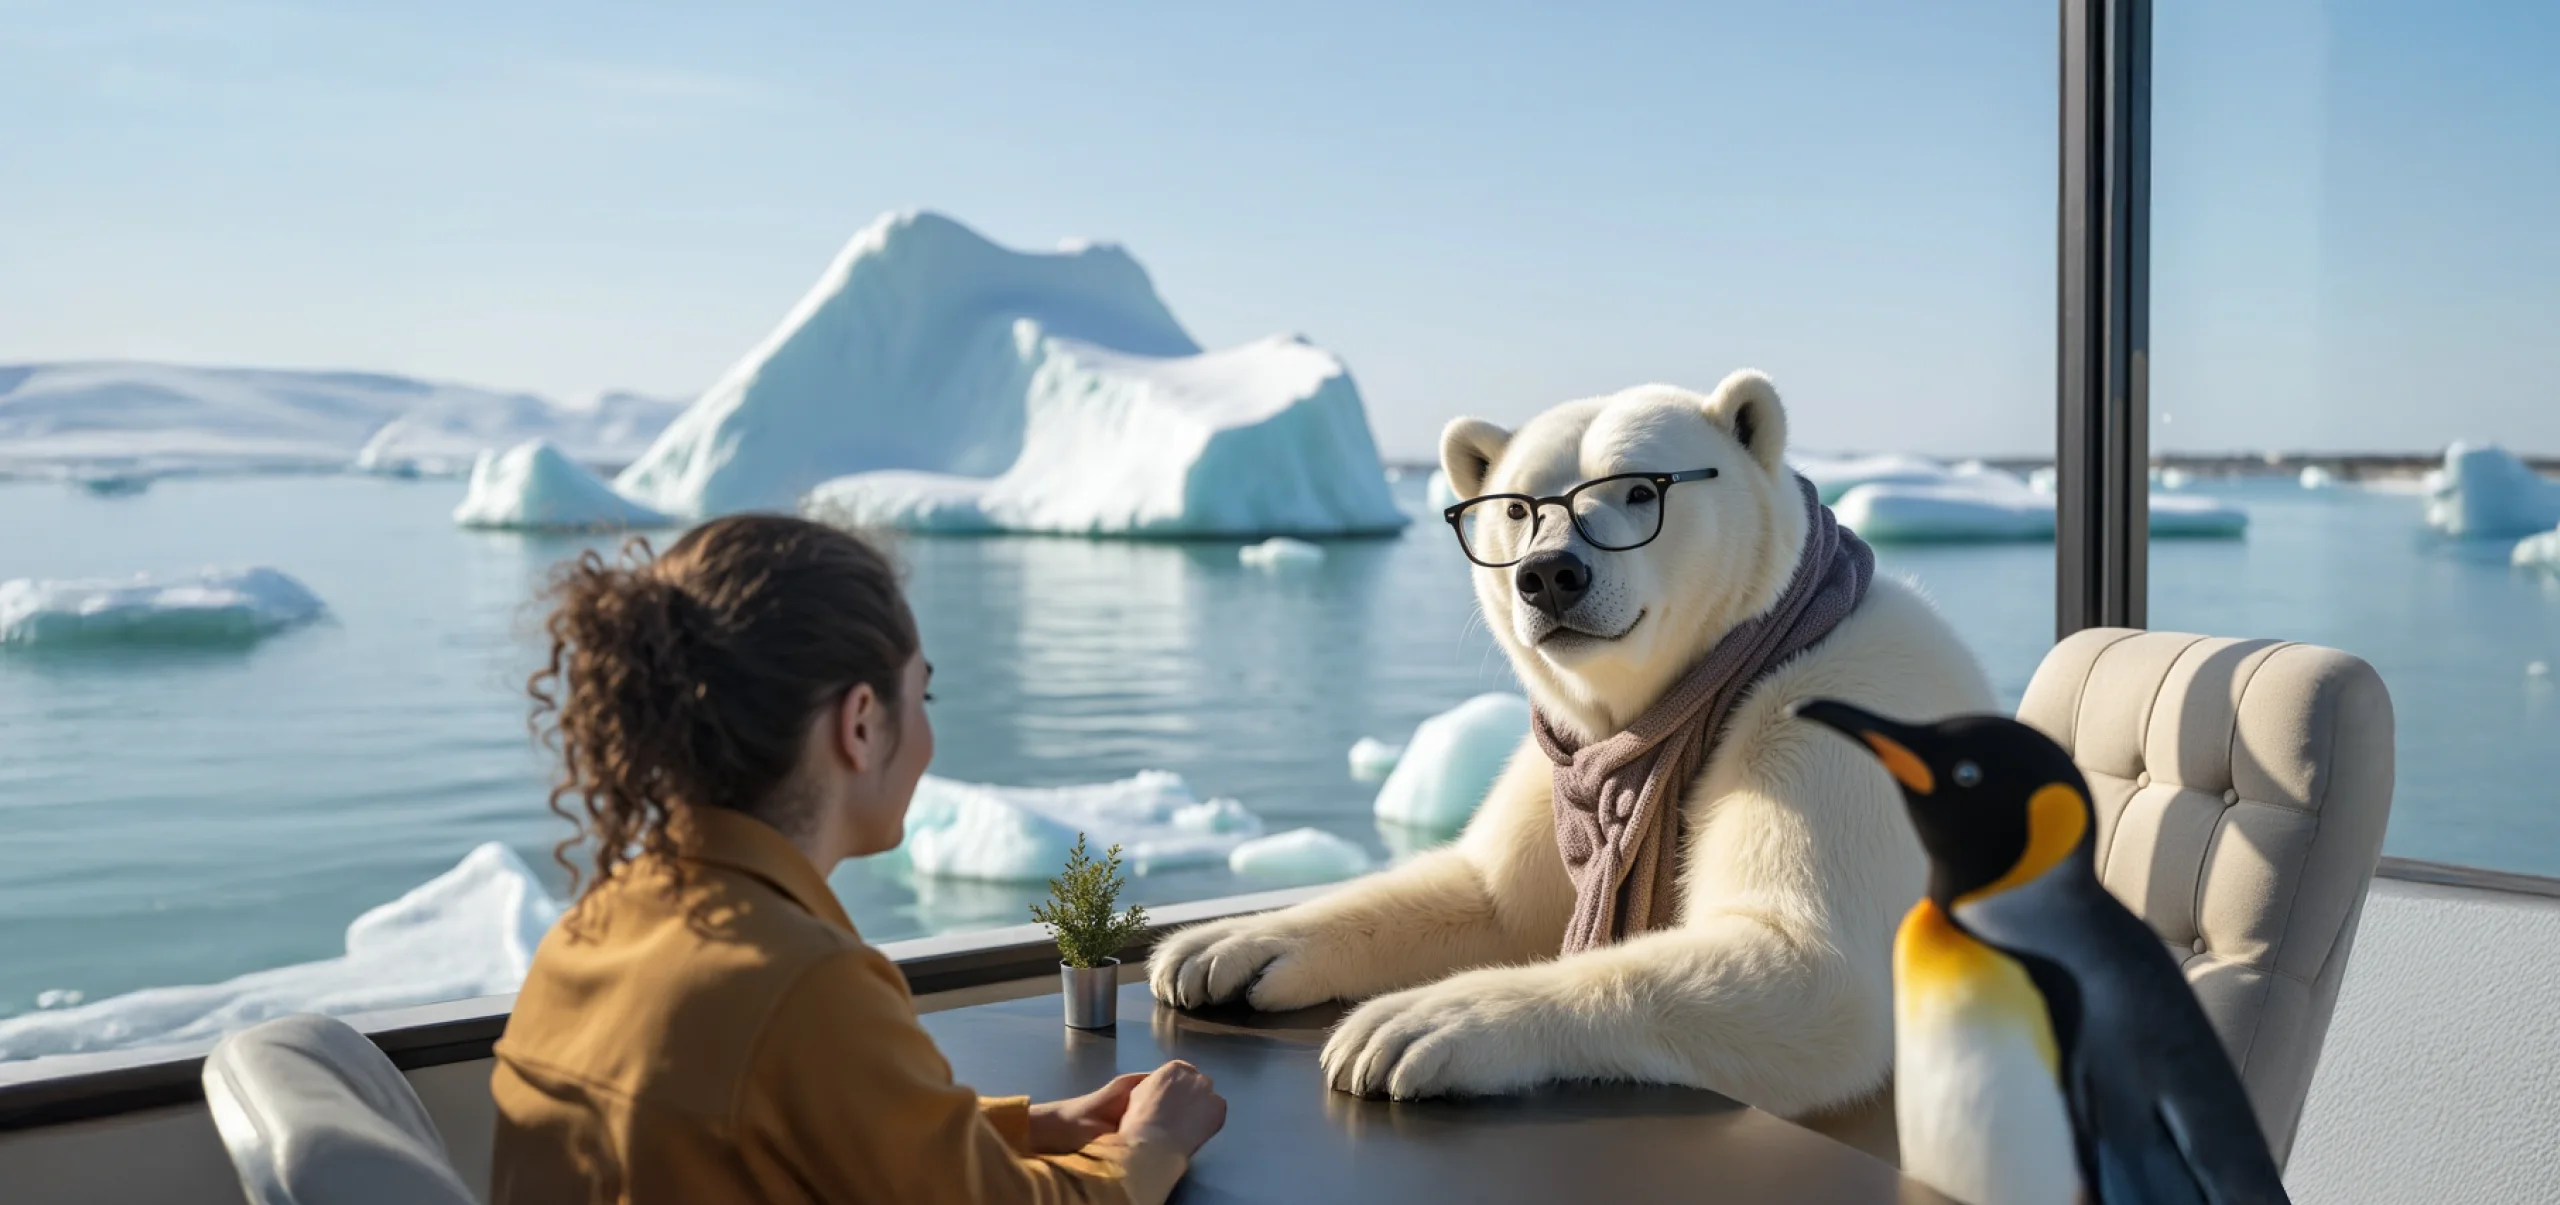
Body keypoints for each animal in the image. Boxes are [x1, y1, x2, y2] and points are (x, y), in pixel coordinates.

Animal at [1146, 373, 1996, 1115]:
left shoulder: (1832, 727)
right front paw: (1219, 949)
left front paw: (1408, 1027)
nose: (1550, 574)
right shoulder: (1561, 758)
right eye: (1518, 507)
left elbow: (1810, 969)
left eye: (1639, 489)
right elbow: (1488, 894)